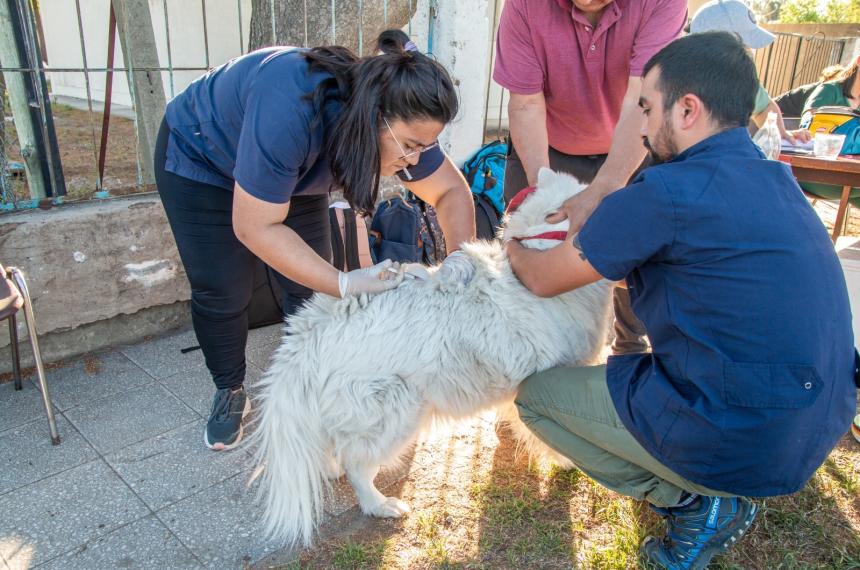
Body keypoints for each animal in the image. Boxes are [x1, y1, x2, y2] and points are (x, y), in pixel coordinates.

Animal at [252, 168, 616, 544]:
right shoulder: (550, 376)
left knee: (335, 449)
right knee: (358, 466)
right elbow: (551, 435)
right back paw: (379, 504)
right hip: (399, 412)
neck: (536, 253)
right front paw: (565, 461)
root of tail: (311, 330)